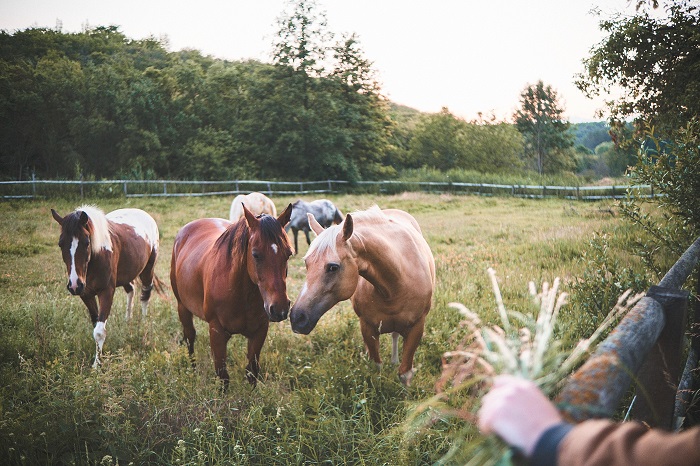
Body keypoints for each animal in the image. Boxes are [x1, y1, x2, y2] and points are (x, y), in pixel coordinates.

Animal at [51, 204, 161, 368]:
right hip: (125, 274)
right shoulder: (86, 294)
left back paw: (143, 323)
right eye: (60, 244)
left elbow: (99, 331)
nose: (75, 285)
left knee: (145, 295)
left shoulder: (107, 292)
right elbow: (96, 324)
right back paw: (127, 320)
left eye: (87, 242)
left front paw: (96, 366)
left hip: (147, 269)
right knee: (131, 290)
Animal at [171, 202, 294, 388]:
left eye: (288, 253)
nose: (279, 308)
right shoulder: (217, 332)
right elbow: (223, 377)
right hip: (183, 307)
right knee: (190, 338)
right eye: (255, 254)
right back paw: (192, 370)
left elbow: (252, 372)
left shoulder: (259, 331)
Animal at [288, 206, 432, 384]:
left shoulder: (417, 328)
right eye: (306, 263)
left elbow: (404, 373)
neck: (396, 284)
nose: (296, 318)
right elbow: (376, 366)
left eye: (333, 267)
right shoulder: (367, 327)